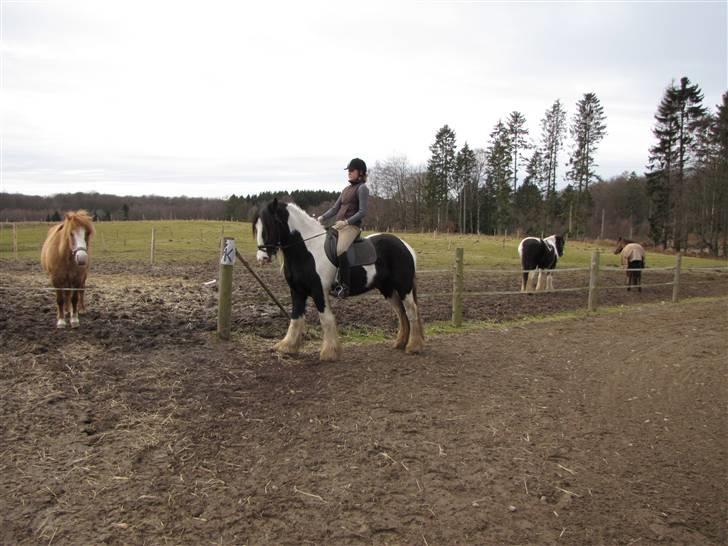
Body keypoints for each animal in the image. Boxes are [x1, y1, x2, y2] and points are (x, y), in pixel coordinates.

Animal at [253, 198, 424, 360]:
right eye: (256, 228)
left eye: (271, 225)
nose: (262, 258)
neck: (308, 250)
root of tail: (405, 246)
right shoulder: (297, 291)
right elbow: (296, 318)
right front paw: (287, 347)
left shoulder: (319, 291)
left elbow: (325, 319)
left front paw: (329, 353)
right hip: (388, 289)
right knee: (401, 313)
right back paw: (400, 343)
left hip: (404, 287)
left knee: (411, 311)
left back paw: (413, 347)